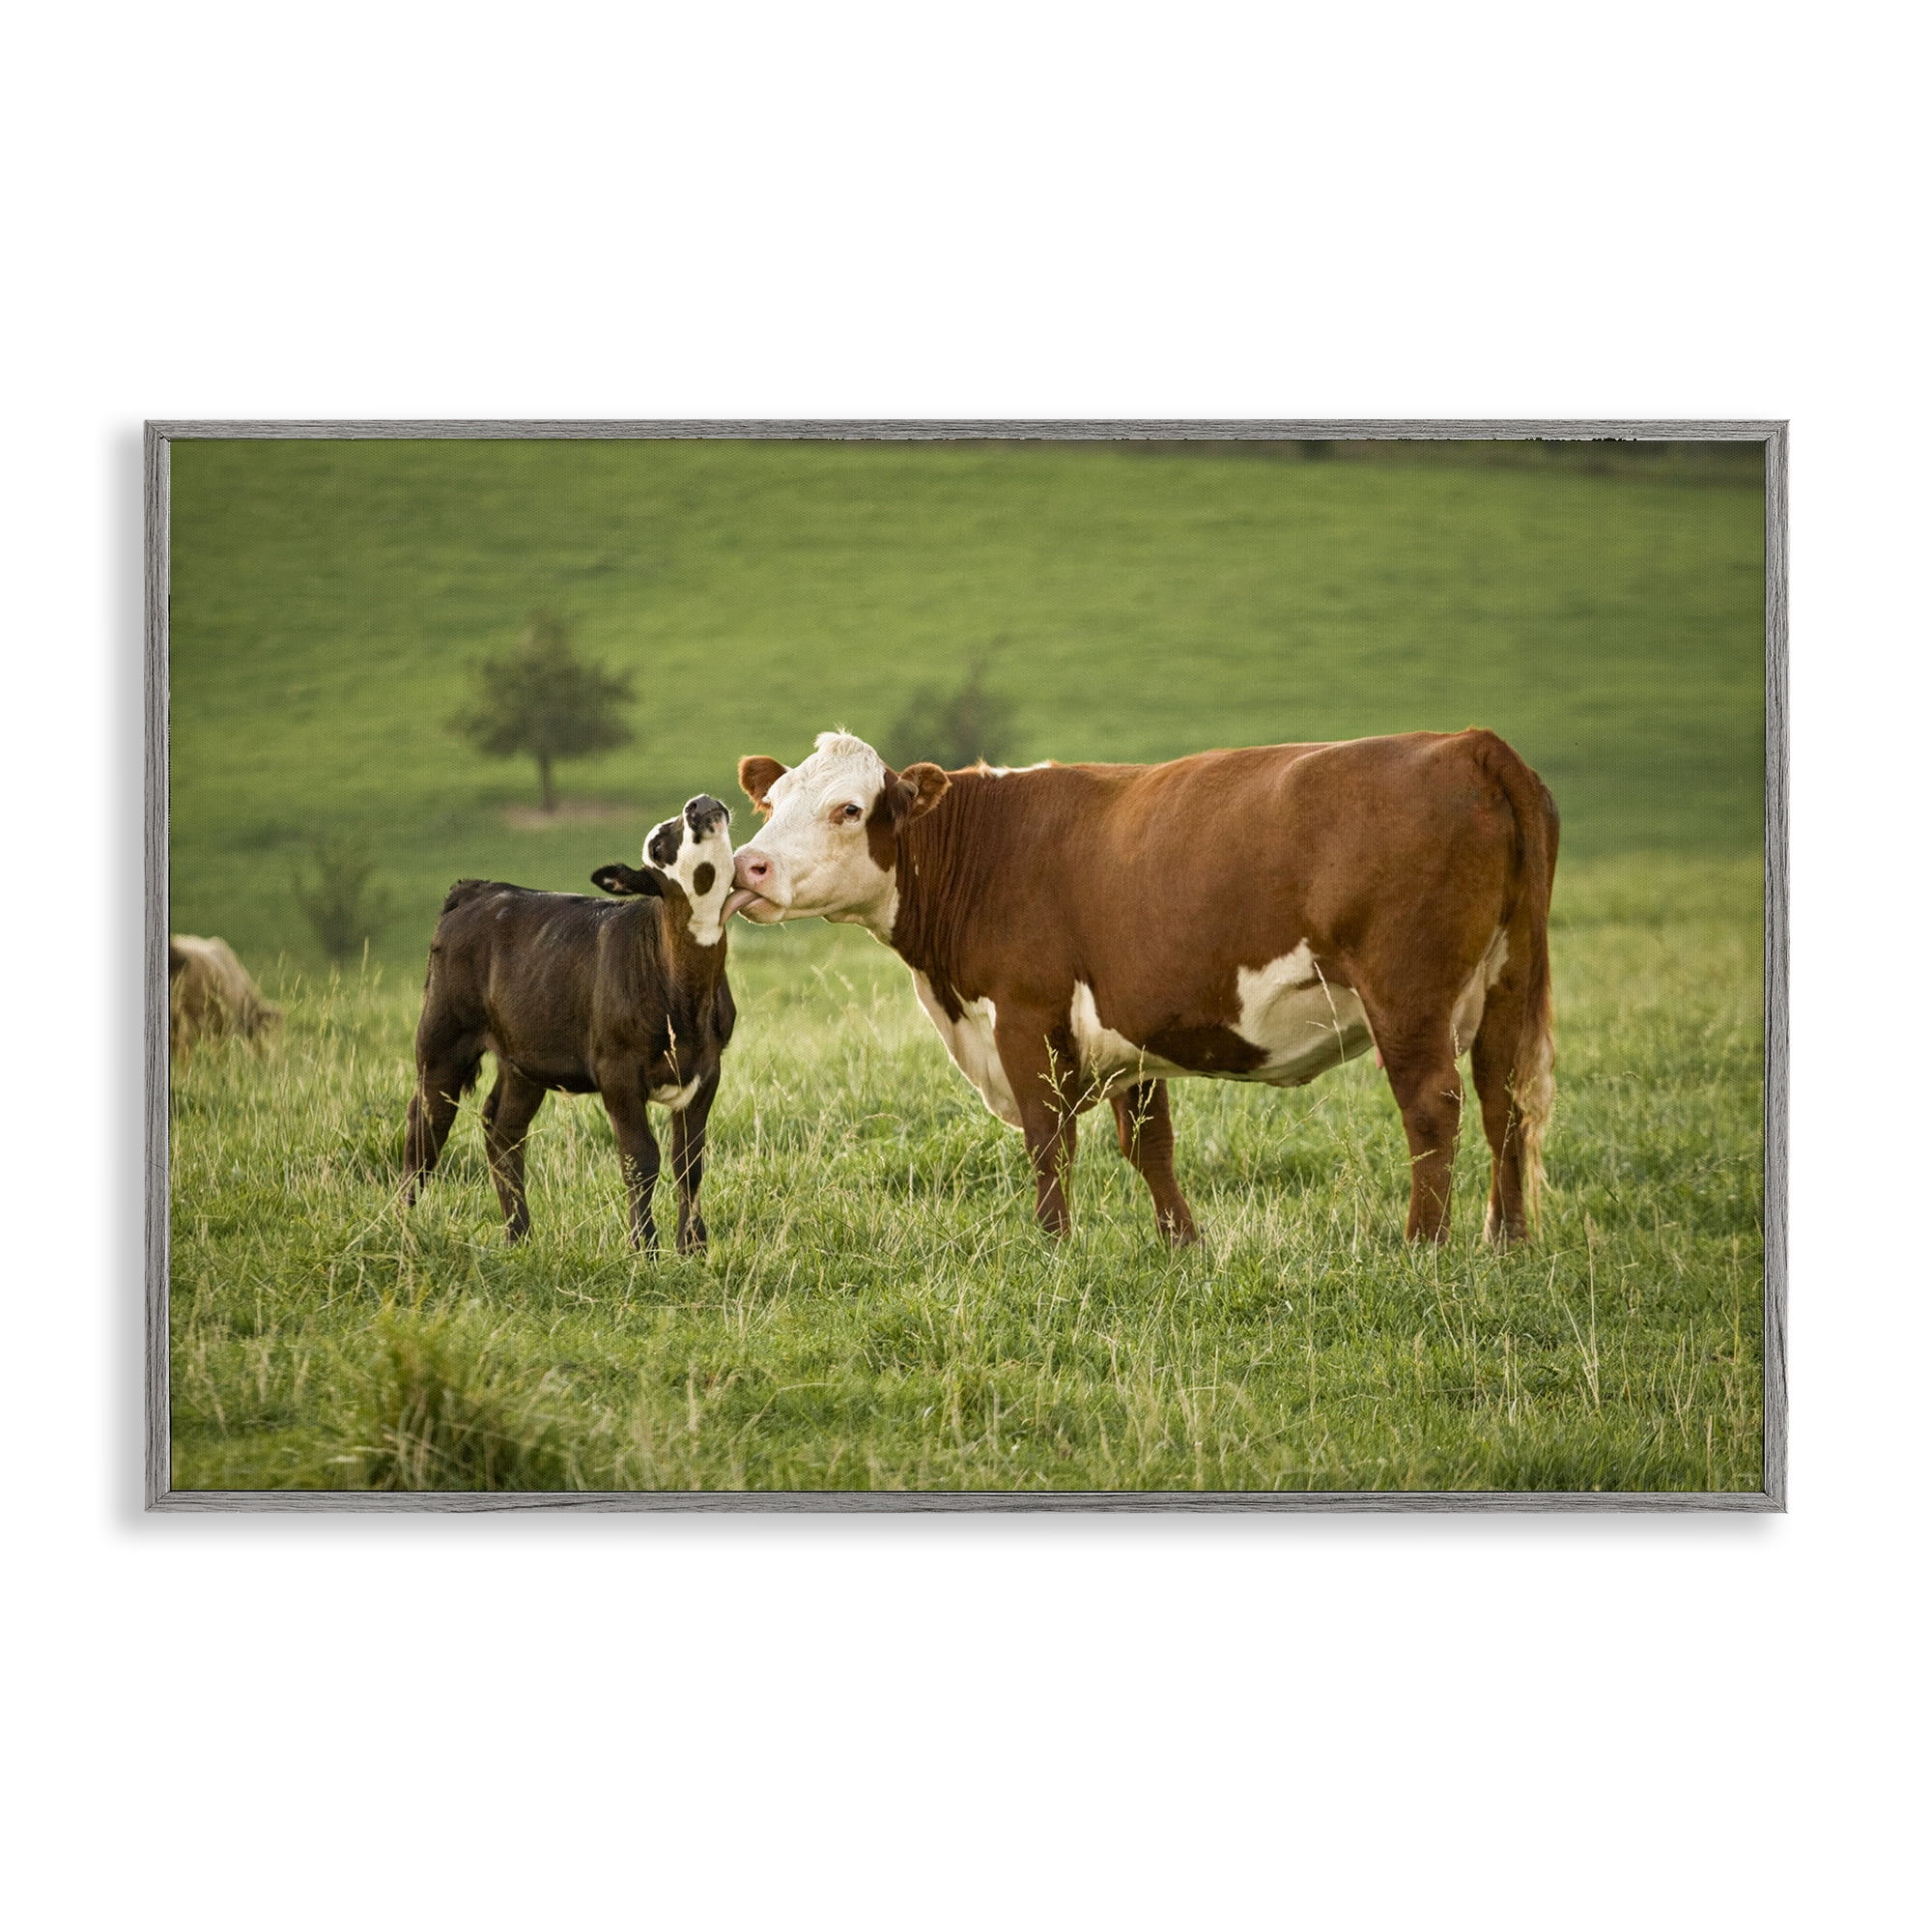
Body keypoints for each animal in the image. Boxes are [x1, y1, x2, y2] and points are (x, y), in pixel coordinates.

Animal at [402, 795, 738, 1251]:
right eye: (657, 845)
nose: (699, 804)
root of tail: (481, 889)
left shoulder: (707, 1067)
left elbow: (689, 1160)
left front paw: (693, 1248)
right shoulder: (616, 1070)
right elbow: (640, 1158)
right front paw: (644, 1247)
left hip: (523, 1058)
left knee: (502, 1130)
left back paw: (519, 1236)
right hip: (442, 1038)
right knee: (424, 1126)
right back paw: (403, 1225)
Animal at [726, 730, 1557, 1247]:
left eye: (849, 809)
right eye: (772, 804)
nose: (746, 867)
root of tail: (1471, 743)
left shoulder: (1026, 1017)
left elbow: (1048, 1139)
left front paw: (1054, 1244)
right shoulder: (1128, 1030)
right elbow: (1150, 1144)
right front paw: (1182, 1244)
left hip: (1407, 996)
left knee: (1433, 1108)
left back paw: (1425, 1244)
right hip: (1506, 985)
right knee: (1504, 1101)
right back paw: (1507, 1240)